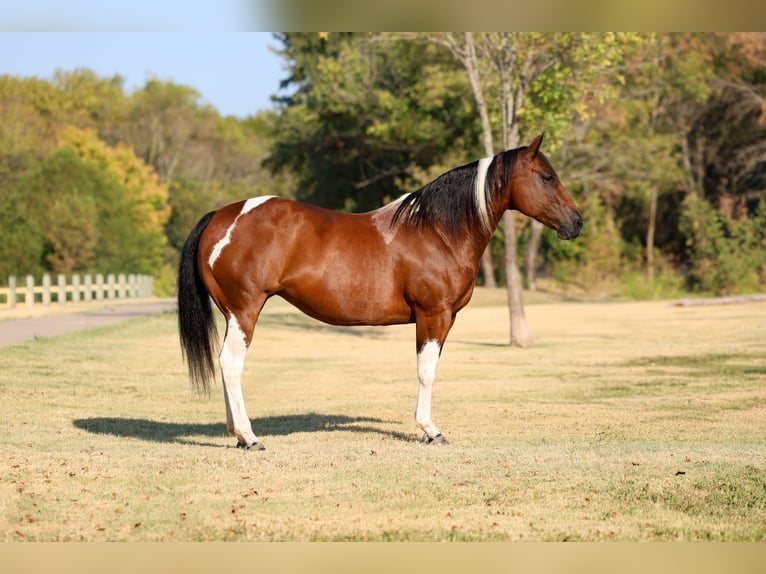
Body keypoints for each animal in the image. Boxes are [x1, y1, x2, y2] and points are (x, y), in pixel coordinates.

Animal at [177, 134, 582, 450]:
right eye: (547, 177)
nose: (576, 223)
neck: (437, 231)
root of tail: (220, 217)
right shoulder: (433, 315)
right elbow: (426, 371)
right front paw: (430, 430)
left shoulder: (443, 319)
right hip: (245, 311)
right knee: (232, 364)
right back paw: (250, 436)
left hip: (233, 314)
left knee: (226, 364)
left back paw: (237, 435)